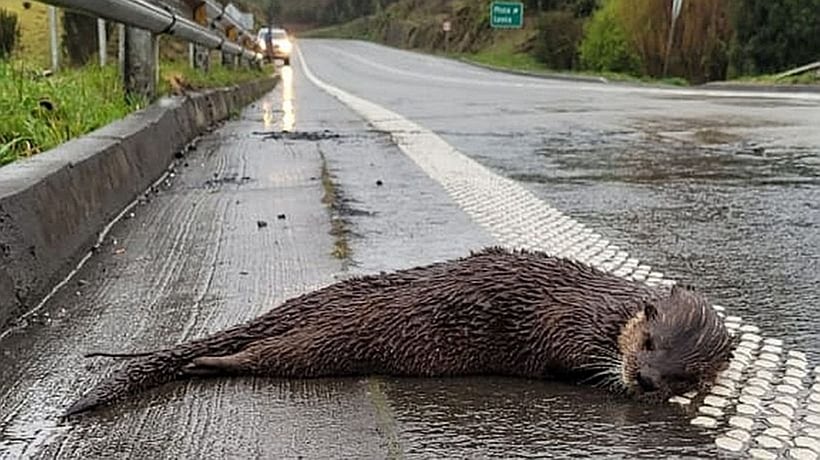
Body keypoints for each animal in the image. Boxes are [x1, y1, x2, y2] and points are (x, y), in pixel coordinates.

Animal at [62, 248, 732, 416]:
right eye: (649, 344)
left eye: (685, 375)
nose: (646, 380)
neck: (608, 310)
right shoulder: (569, 324)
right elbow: (567, 358)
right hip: (345, 336)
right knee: (273, 355)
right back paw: (208, 365)